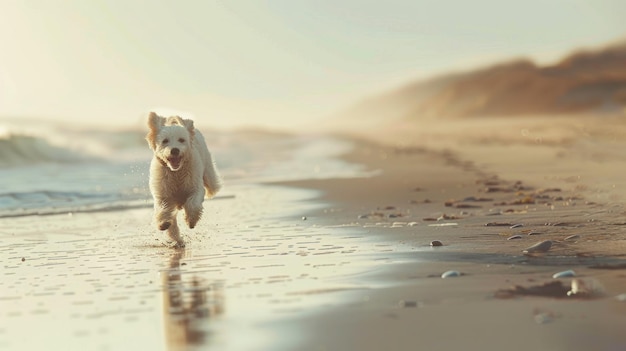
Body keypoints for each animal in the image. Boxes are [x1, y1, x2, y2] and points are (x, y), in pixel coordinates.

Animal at [145, 113, 221, 248]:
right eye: (165, 141)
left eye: (181, 140)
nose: (174, 150)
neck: (176, 172)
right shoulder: (164, 195)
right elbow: (165, 213)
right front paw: (164, 224)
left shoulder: (196, 189)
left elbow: (192, 204)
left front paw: (191, 220)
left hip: (209, 174)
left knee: (212, 185)